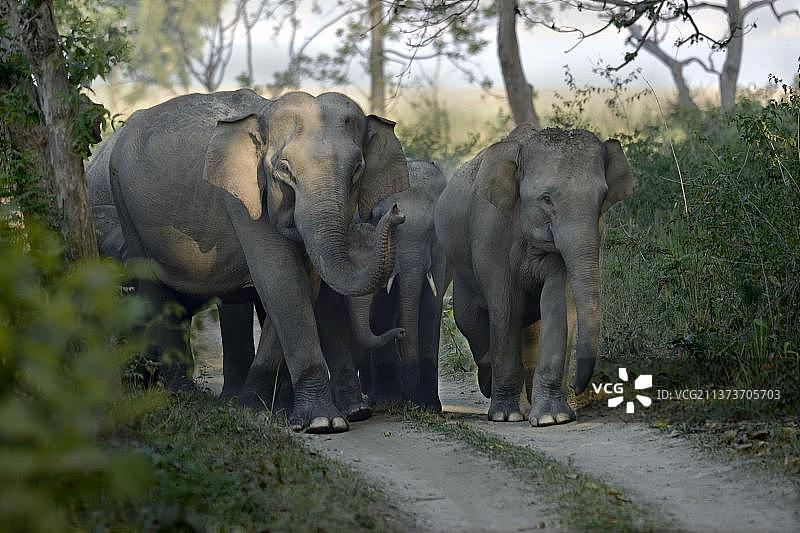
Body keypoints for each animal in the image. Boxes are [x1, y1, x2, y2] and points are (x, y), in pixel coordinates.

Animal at [86, 88, 409, 433]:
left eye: (357, 170)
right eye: (284, 171)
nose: (397, 212)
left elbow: (301, 286)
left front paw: (262, 409)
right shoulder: (244, 199)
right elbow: (280, 279)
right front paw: (321, 422)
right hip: (126, 207)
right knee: (154, 291)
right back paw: (181, 395)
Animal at [433, 126, 634, 426]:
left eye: (602, 198)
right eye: (546, 198)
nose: (576, 386)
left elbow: (557, 303)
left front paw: (554, 418)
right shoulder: (490, 233)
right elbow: (505, 308)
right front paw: (505, 416)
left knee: (529, 330)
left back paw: (527, 407)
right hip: (461, 269)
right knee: (471, 321)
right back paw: (491, 388)